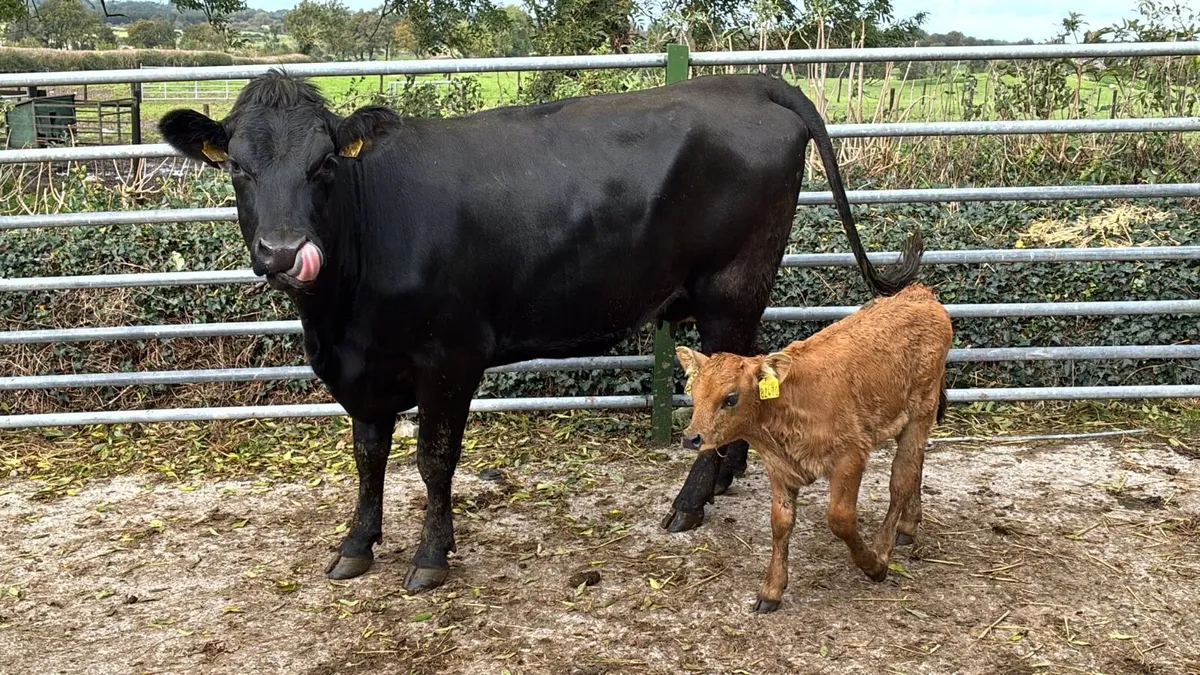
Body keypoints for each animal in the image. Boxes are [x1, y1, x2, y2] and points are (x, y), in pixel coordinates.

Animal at [158, 69, 924, 592]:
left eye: (322, 165)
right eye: (238, 168)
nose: (284, 251)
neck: (340, 316)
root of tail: (747, 82)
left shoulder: (450, 356)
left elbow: (434, 459)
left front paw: (430, 557)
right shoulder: (361, 371)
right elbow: (369, 456)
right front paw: (355, 545)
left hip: (729, 286)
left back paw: (689, 502)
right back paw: (727, 475)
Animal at [675, 283, 952, 612]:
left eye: (731, 398)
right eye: (694, 393)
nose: (692, 438)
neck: (787, 404)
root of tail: (918, 293)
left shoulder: (850, 456)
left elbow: (841, 519)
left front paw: (872, 564)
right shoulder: (779, 468)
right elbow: (780, 523)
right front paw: (772, 590)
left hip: (922, 410)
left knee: (902, 478)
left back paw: (885, 547)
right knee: (916, 464)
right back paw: (909, 524)